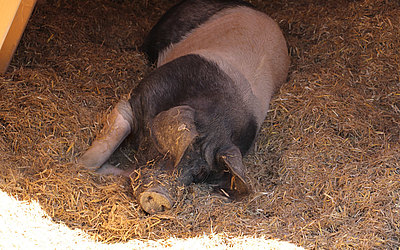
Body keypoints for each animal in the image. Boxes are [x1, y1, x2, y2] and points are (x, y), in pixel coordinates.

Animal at [79, 0, 290, 214]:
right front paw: (81, 165)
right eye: (168, 149)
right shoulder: (138, 96)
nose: (161, 196)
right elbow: (109, 139)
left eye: (201, 173)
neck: (215, 119)